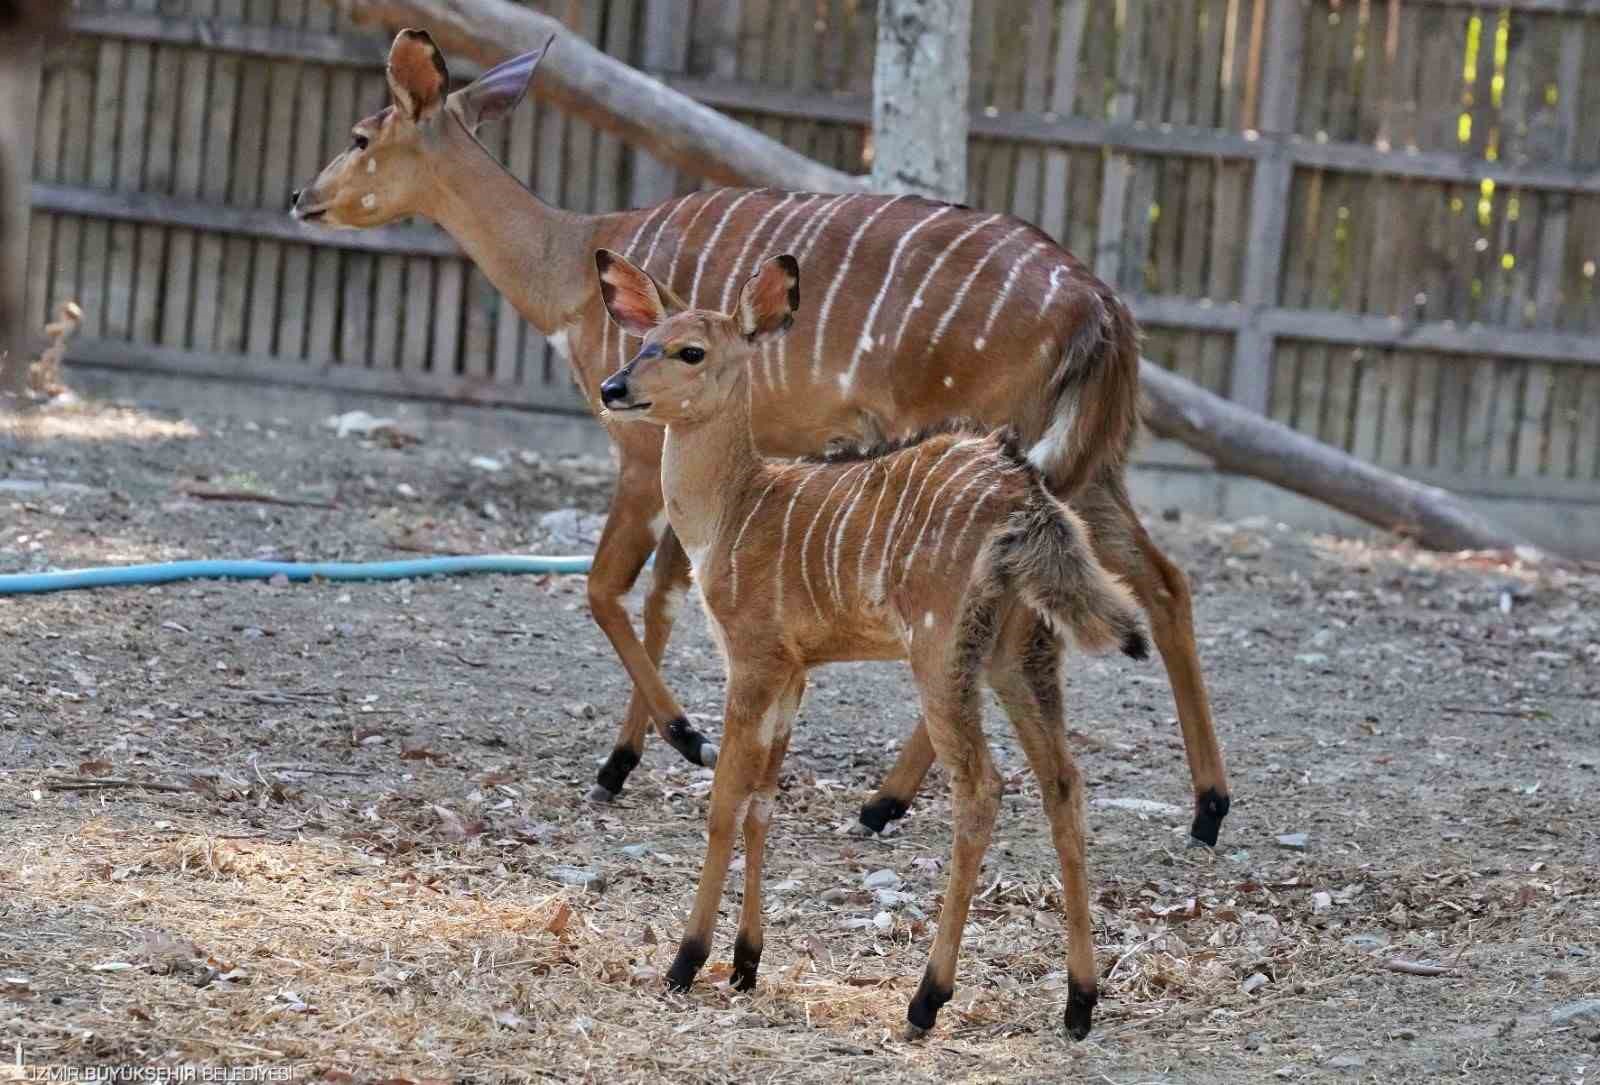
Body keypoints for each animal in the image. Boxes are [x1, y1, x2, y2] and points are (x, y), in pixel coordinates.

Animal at [291, 25, 1235, 838]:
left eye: (362, 134)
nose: (302, 196)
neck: (571, 267)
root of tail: (1102, 306)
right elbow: (666, 594)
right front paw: (625, 760)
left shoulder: (640, 449)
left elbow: (606, 589)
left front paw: (680, 737)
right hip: (1088, 465)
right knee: (1164, 582)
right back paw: (1207, 809)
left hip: (999, 451)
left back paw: (882, 803)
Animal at [595, 248, 1145, 1043]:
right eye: (643, 340)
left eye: (690, 350)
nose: (614, 388)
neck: (735, 510)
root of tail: (1026, 501)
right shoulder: (796, 670)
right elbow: (765, 800)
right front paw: (747, 963)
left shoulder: (752, 657)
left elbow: (726, 798)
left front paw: (687, 960)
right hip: (1019, 655)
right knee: (1063, 781)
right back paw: (1079, 1002)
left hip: (940, 651)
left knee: (982, 788)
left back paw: (927, 999)